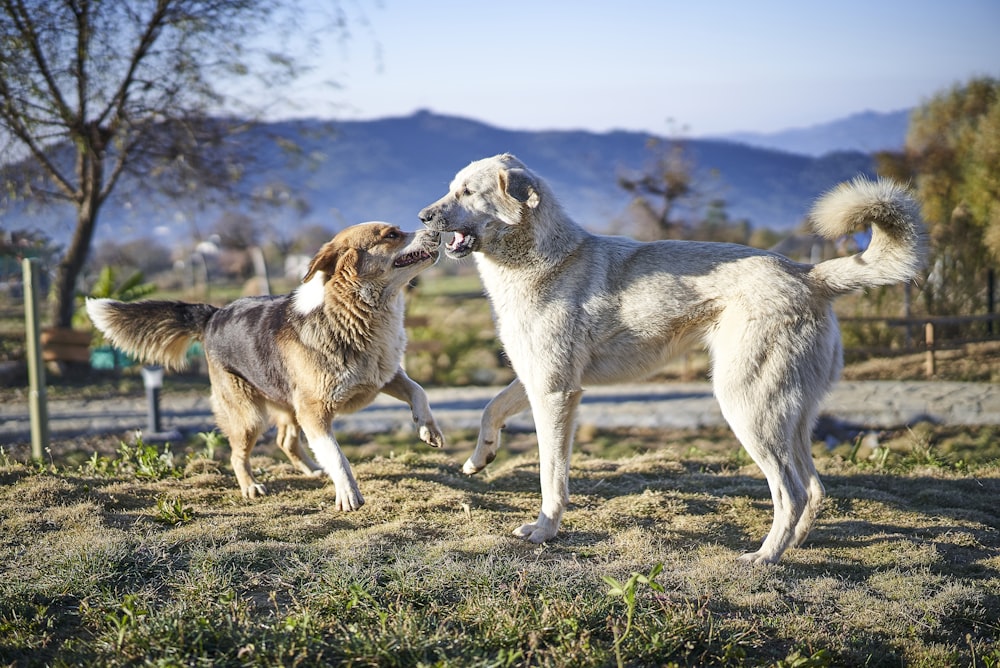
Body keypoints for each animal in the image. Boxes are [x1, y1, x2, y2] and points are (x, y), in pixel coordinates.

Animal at [88, 222, 444, 508]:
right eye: (391, 235)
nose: (438, 231)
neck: (350, 312)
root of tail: (213, 315)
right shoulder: (314, 413)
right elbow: (337, 455)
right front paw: (347, 493)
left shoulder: (384, 375)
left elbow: (419, 391)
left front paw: (427, 428)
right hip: (250, 416)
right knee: (238, 455)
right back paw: (251, 487)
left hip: (287, 405)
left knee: (285, 441)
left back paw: (313, 471)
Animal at [416, 153, 920, 564]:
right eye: (451, 187)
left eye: (466, 192)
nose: (422, 215)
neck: (543, 260)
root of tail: (808, 273)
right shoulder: (535, 380)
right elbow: (490, 409)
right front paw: (479, 460)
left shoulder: (556, 394)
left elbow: (550, 477)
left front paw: (544, 530)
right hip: (789, 415)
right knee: (814, 488)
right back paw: (792, 545)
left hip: (747, 408)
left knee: (791, 492)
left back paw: (764, 557)